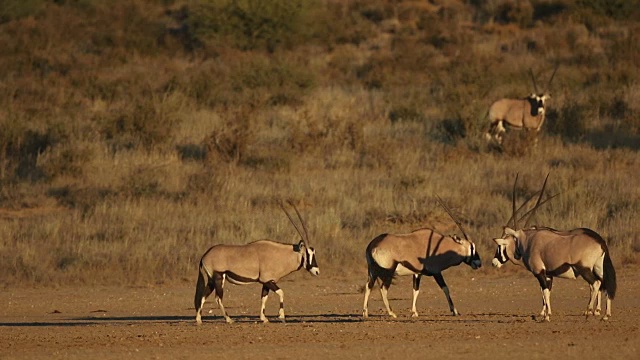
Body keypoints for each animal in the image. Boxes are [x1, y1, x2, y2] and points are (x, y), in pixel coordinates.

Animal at [492, 174, 616, 320]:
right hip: (598, 268)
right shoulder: (549, 274)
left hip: (584, 268)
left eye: (500, 246)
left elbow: (544, 291)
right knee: (604, 284)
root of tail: (600, 242)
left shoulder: (539, 272)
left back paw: (589, 311)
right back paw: (605, 314)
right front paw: (544, 313)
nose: (494, 262)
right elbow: (547, 292)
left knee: (596, 284)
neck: (528, 240)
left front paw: (546, 316)